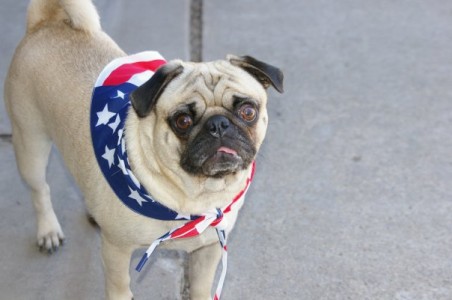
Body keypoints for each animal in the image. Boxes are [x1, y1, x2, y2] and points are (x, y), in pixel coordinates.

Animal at [5, 0, 282, 300]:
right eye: (182, 121)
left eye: (248, 111)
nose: (218, 124)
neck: (194, 198)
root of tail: (45, 23)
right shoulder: (116, 251)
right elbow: (119, 288)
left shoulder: (208, 250)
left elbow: (201, 287)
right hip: (29, 141)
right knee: (39, 190)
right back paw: (48, 230)